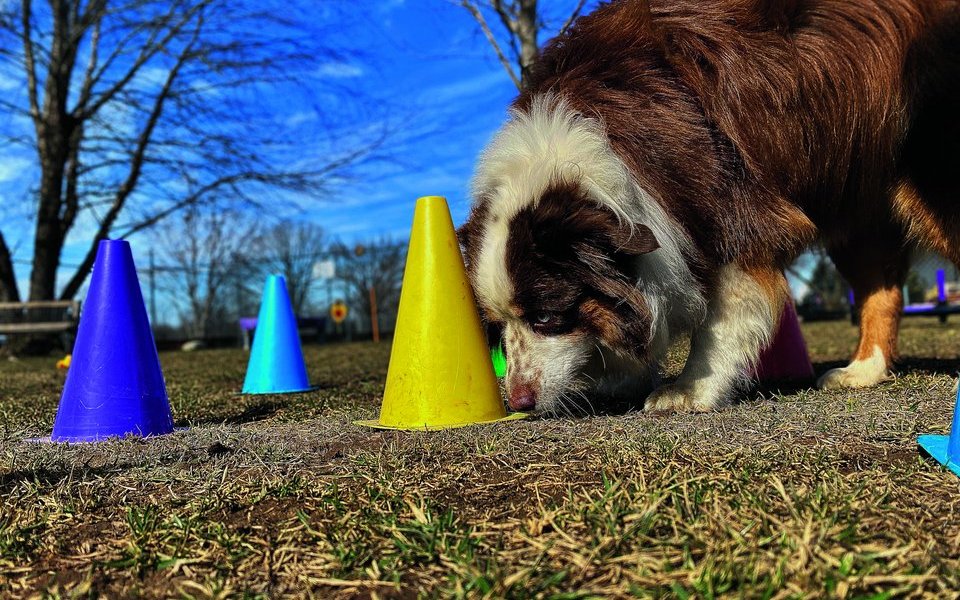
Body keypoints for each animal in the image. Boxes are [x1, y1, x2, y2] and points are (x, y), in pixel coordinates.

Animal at [460, 0, 960, 412]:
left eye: (545, 316)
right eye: (497, 324)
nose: (519, 402)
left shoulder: (731, 201)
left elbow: (723, 311)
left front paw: (689, 388)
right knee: (883, 288)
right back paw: (861, 371)